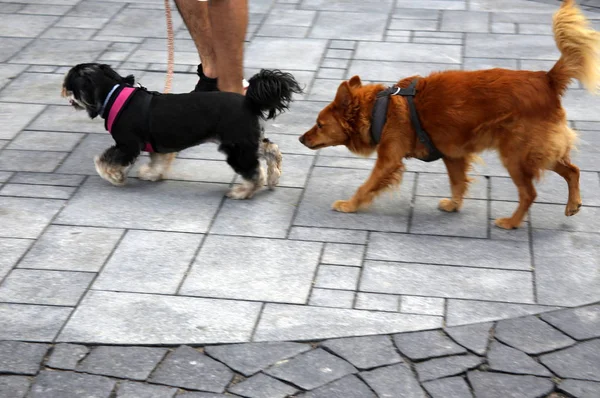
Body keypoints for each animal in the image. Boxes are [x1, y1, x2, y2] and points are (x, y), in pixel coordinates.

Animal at [62, 64, 300, 199]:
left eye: (69, 82)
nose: (63, 91)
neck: (113, 94)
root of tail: (249, 101)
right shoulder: (155, 144)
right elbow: (158, 160)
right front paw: (151, 174)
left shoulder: (127, 145)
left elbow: (103, 161)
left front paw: (115, 177)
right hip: (246, 140)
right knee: (271, 149)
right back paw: (274, 176)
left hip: (236, 147)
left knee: (253, 172)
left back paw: (242, 192)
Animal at [300, 0, 600, 230]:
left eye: (319, 124)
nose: (301, 139)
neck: (380, 109)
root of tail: (546, 79)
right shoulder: (453, 155)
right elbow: (457, 183)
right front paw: (454, 204)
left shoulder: (388, 160)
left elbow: (367, 185)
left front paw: (350, 204)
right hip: (537, 152)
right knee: (572, 170)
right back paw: (573, 204)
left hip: (516, 155)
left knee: (530, 192)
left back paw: (512, 222)